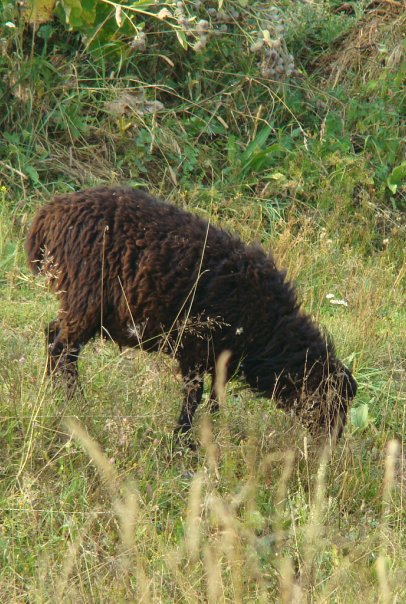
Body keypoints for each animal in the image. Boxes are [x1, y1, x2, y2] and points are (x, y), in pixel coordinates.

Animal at [25, 186, 356, 442]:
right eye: (332, 402)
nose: (331, 445)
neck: (270, 329)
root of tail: (50, 214)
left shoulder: (219, 358)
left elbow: (215, 400)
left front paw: (210, 432)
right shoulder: (195, 347)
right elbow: (193, 396)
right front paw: (182, 440)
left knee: (54, 337)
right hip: (86, 297)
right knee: (62, 347)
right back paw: (73, 402)